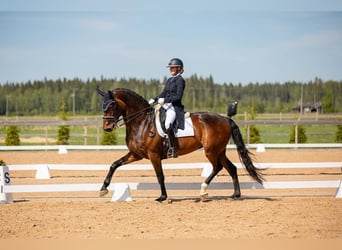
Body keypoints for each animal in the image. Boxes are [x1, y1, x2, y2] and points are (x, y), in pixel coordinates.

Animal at [97, 87, 264, 201]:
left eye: (112, 105)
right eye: (102, 105)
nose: (107, 128)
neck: (142, 122)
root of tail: (225, 119)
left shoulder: (153, 155)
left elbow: (160, 175)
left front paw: (162, 197)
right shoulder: (136, 154)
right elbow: (114, 164)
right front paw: (103, 188)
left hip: (211, 151)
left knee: (218, 167)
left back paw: (203, 192)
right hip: (219, 150)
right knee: (231, 168)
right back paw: (235, 194)